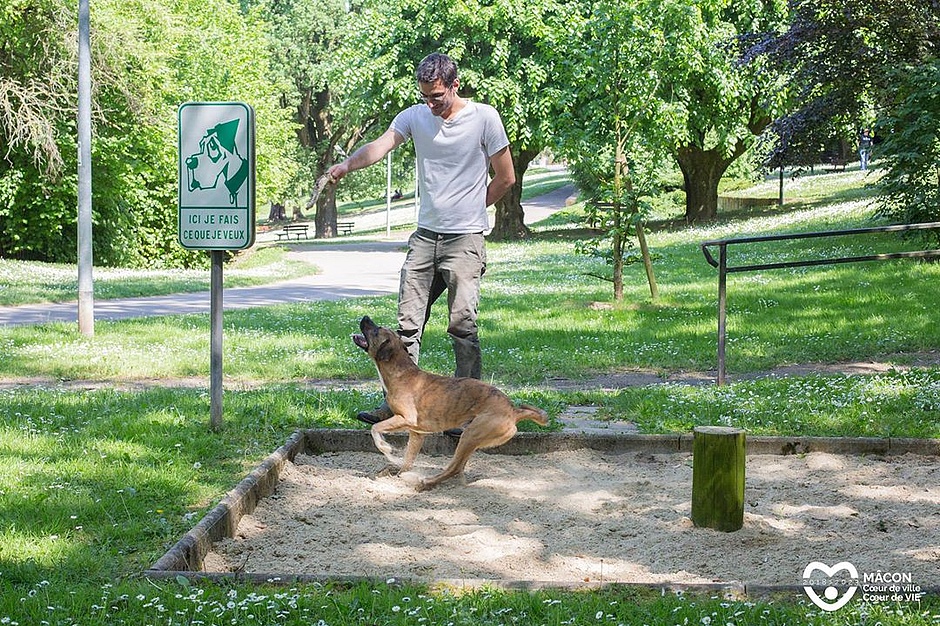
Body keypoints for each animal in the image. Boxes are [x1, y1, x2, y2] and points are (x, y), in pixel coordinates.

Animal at [352, 314, 548, 490]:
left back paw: (426, 482)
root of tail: (514, 411)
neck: (401, 372)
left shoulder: (406, 418)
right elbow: (407, 459)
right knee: (458, 467)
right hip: (472, 439)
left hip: (470, 435)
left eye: (376, 330)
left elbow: (375, 428)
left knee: (453, 468)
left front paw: (385, 448)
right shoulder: (417, 434)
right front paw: (399, 474)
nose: (365, 317)